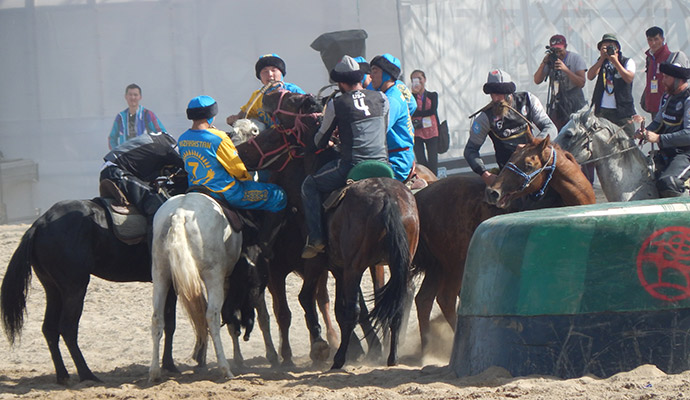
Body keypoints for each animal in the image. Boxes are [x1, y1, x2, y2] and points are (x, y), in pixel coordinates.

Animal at [148, 194, 242, 382]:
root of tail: (179, 214)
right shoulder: (226, 279)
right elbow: (229, 314)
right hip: (213, 276)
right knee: (211, 317)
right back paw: (225, 368)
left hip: (160, 275)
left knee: (157, 318)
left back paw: (154, 372)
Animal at [236, 90, 420, 368]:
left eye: (271, 136)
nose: (237, 151)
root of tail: (387, 197)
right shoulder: (334, 266)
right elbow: (334, 306)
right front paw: (366, 347)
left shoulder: (321, 261)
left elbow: (314, 301)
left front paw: (328, 346)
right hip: (400, 262)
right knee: (400, 300)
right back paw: (391, 355)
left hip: (356, 266)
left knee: (352, 308)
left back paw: (340, 358)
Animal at [412, 134, 592, 354]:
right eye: (512, 157)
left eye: (528, 163)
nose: (493, 193)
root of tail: (420, 198)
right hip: (455, 263)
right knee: (445, 298)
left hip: (438, 266)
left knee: (424, 300)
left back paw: (426, 350)